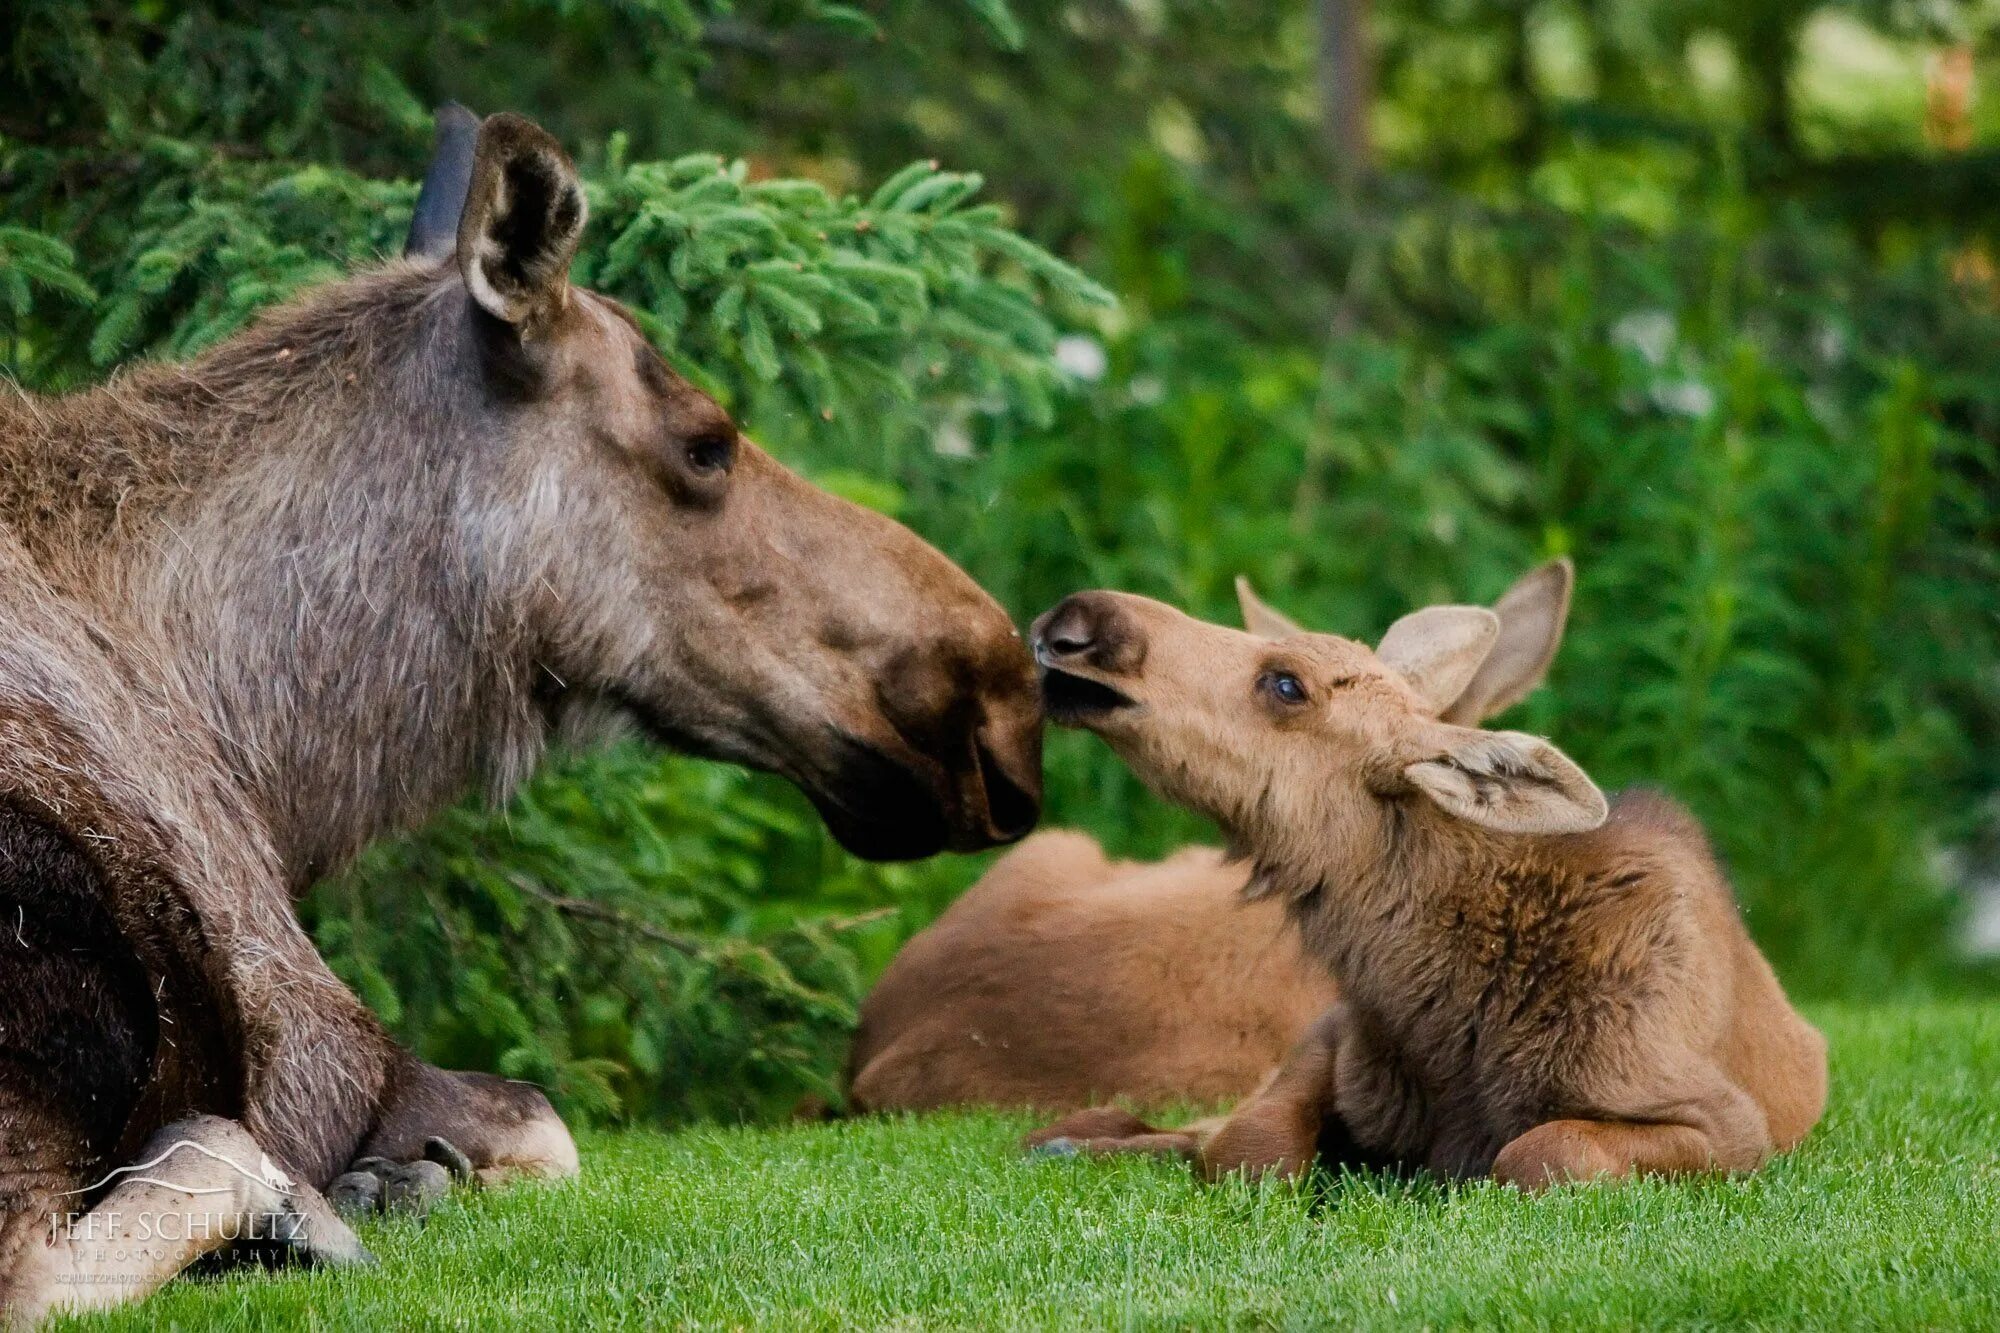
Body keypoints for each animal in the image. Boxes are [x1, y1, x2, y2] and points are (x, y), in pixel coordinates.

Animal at [7, 109, 1048, 1312]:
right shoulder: (325, 1034)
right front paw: (396, 1179)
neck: (268, 758)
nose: (999, 703)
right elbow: (551, 1123)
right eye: (706, 440)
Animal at [1032, 588, 1832, 1176]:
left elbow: (1541, 1153)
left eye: (1286, 684)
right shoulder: (1334, 1037)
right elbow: (1247, 1147)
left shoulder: (1727, 1124)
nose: (1076, 620)